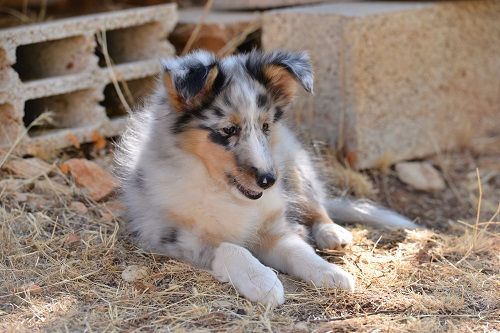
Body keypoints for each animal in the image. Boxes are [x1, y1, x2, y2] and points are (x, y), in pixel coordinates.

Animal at [115, 50, 416, 306]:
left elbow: (298, 250)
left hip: (294, 165)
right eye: (228, 130)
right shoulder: (172, 234)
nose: (269, 181)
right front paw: (261, 281)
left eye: (266, 126)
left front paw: (329, 272)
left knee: (316, 205)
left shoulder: (272, 226)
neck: (221, 190)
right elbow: (230, 247)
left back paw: (332, 232)